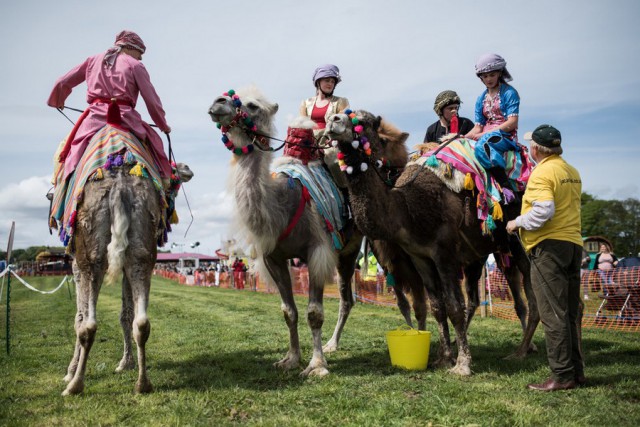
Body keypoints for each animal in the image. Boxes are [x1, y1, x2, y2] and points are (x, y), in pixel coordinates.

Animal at [58, 125, 194, 396]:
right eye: (173, 167)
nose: (187, 168)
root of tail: (120, 185)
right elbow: (126, 313)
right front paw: (126, 363)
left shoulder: (76, 265)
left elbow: (78, 316)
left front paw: (69, 371)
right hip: (140, 245)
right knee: (141, 320)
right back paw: (143, 383)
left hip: (91, 253)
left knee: (88, 322)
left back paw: (75, 385)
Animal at [324, 109, 540, 374]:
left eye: (362, 121)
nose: (332, 120)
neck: (407, 206)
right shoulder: (420, 256)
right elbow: (437, 307)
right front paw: (444, 357)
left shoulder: (444, 252)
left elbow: (453, 306)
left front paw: (462, 364)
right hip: (484, 252)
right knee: (487, 296)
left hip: (517, 240)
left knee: (529, 287)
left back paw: (522, 349)